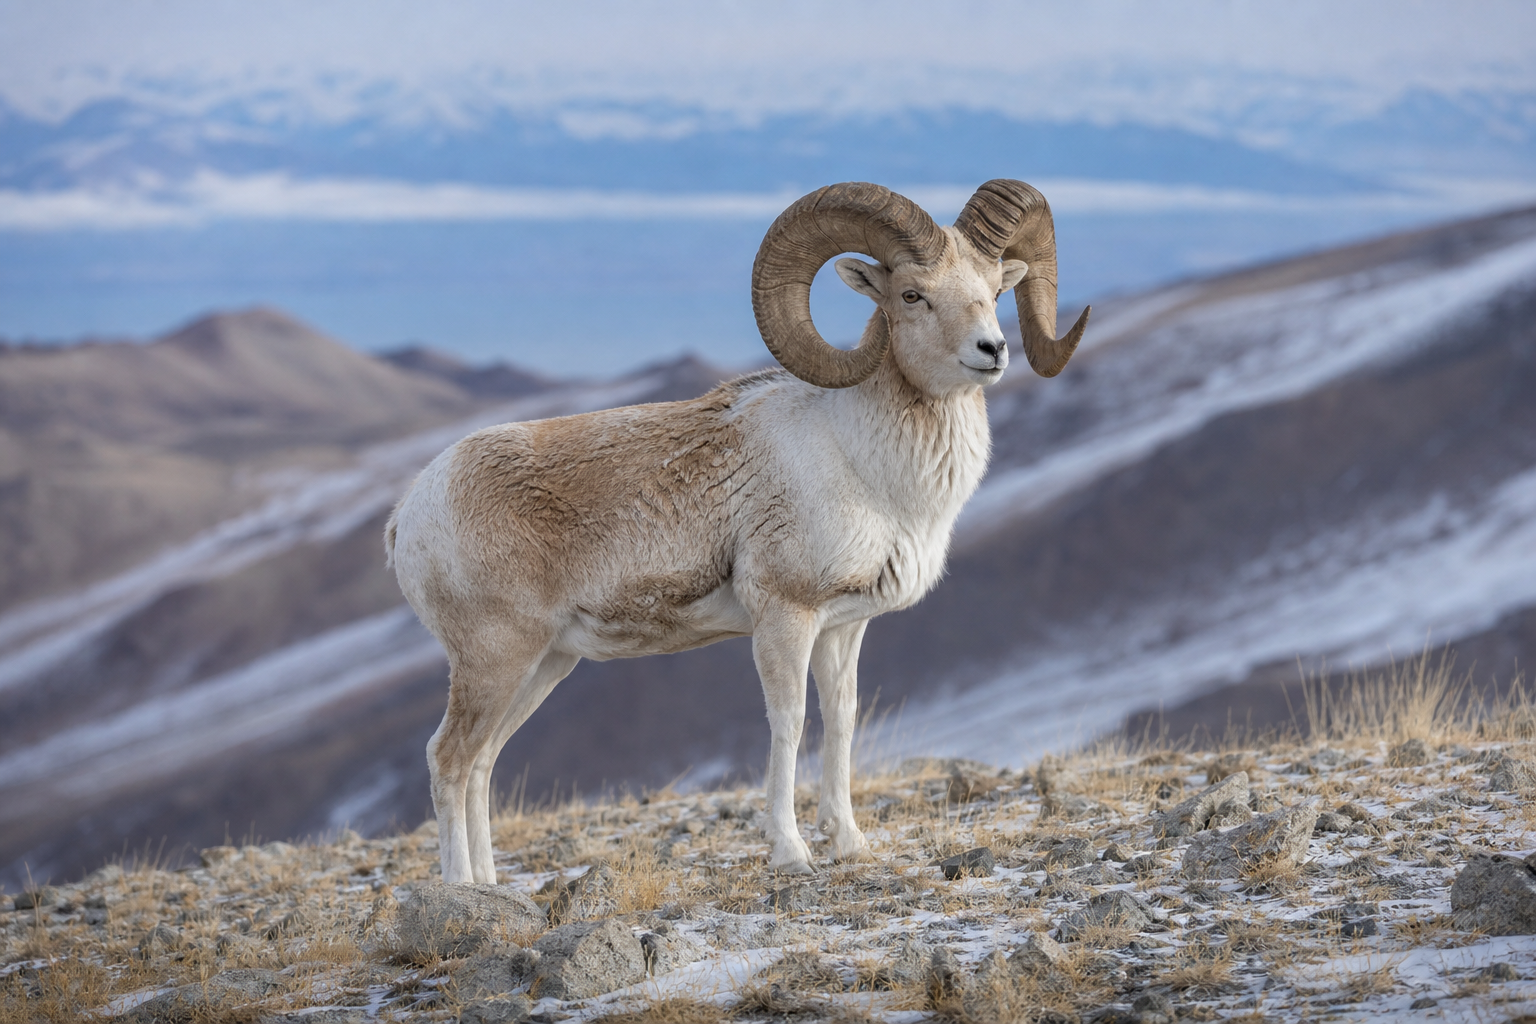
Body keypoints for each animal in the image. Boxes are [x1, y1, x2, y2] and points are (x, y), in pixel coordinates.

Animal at [386, 179, 1090, 882]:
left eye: (993, 291)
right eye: (912, 295)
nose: (992, 351)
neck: (867, 469)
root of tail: (411, 512)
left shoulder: (844, 628)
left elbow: (841, 721)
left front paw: (851, 843)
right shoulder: (785, 615)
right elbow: (789, 722)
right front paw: (791, 852)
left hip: (543, 664)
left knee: (482, 763)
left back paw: (494, 889)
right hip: (494, 658)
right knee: (449, 760)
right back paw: (462, 889)